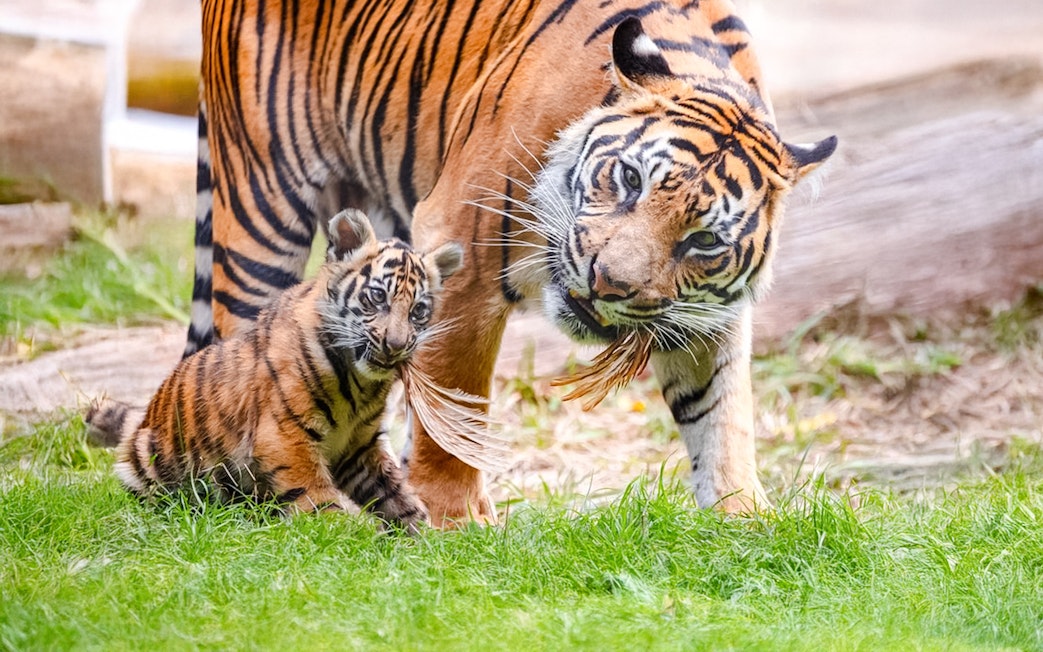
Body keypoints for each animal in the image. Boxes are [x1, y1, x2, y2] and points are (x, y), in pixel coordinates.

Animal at [87, 209, 463, 531]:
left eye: (418, 311)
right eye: (377, 297)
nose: (396, 345)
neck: (360, 385)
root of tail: (143, 417)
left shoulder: (360, 446)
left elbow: (394, 493)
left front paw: (424, 538)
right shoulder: (284, 435)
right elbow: (316, 496)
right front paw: (347, 536)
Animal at [188, 0, 836, 524]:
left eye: (702, 240)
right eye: (630, 180)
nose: (609, 283)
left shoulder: (704, 313)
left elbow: (722, 414)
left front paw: (743, 519)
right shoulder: (462, 249)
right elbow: (456, 400)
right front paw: (451, 518)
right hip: (261, 203)